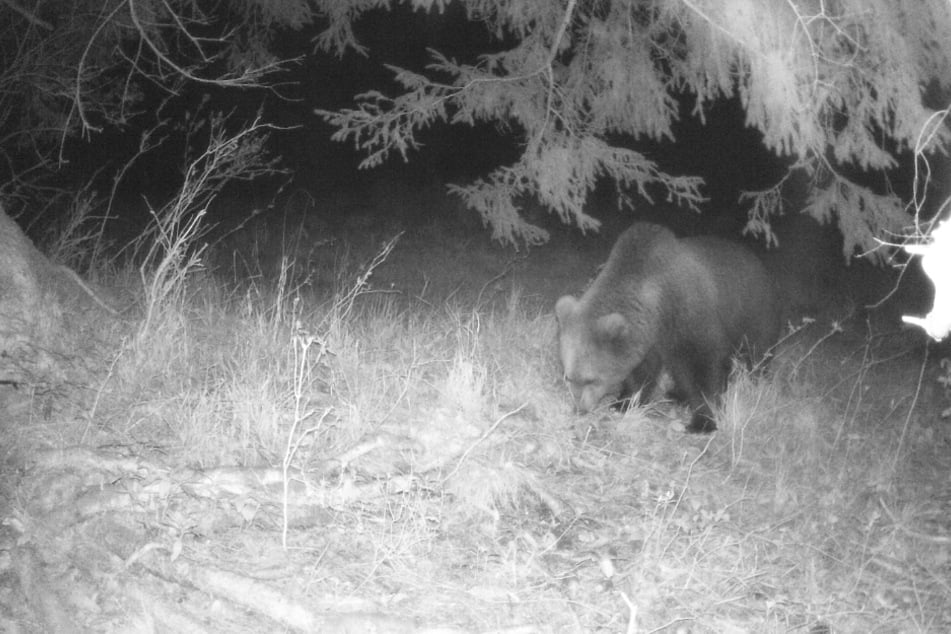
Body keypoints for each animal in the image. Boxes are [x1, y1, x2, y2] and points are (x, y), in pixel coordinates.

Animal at [556, 220, 780, 432]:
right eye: (568, 377)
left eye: (591, 379)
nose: (580, 408)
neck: (657, 305)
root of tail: (756, 260)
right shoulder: (646, 338)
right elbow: (642, 371)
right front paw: (624, 402)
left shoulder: (689, 317)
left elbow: (701, 366)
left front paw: (702, 421)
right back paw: (677, 393)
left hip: (753, 312)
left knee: (756, 353)